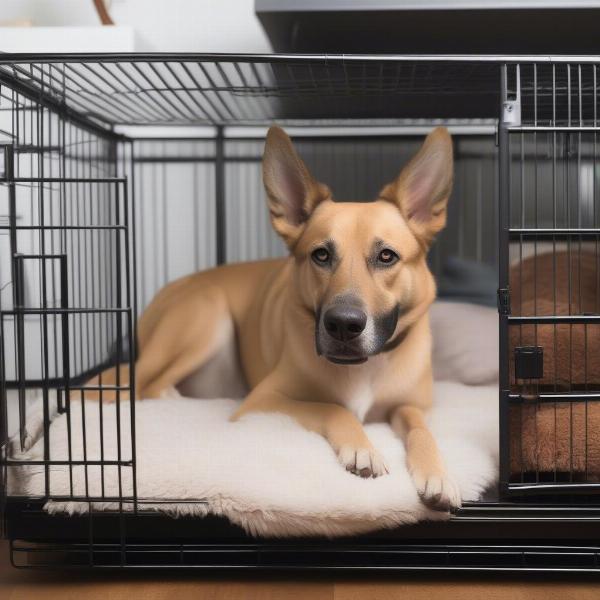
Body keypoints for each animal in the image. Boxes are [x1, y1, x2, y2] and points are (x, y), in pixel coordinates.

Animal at [86, 126, 458, 510]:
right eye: (321, 255)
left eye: (387, 256)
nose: (343, 324)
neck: (363, 370)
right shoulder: (262, 402)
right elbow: (330, 407)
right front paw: (362, 448)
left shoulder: (409, 405)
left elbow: (419, 426)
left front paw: (436, 472)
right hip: (206, 316)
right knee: (146, 388)